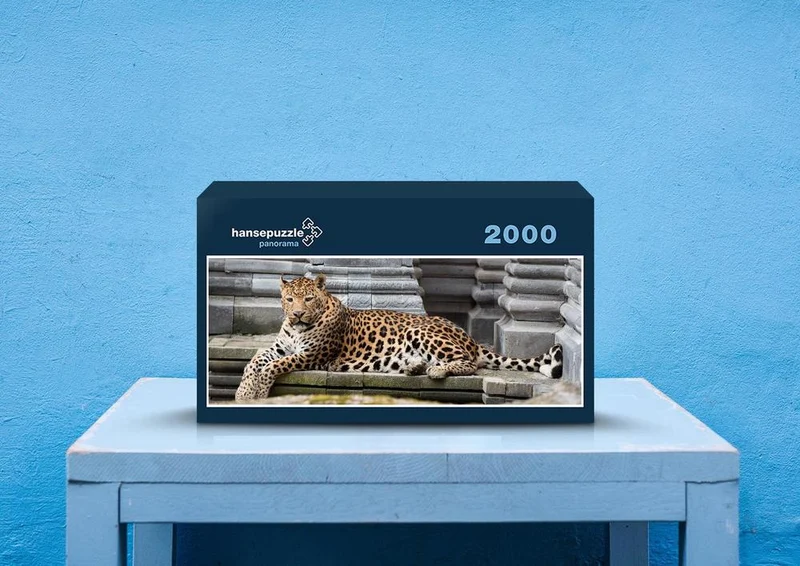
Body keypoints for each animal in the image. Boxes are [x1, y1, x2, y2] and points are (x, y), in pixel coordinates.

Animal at [234, 274, 563, 401]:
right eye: (289, 299)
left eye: (309, 298)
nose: (298, 314)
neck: (298, 329)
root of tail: (467, 336)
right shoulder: (280, 347)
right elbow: (255, 360)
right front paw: (243, 390)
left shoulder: (312, 355)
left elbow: (273, 366)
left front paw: (257, 392)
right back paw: (413, 367)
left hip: (422, 331)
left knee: (469, 362)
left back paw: (436, 370)